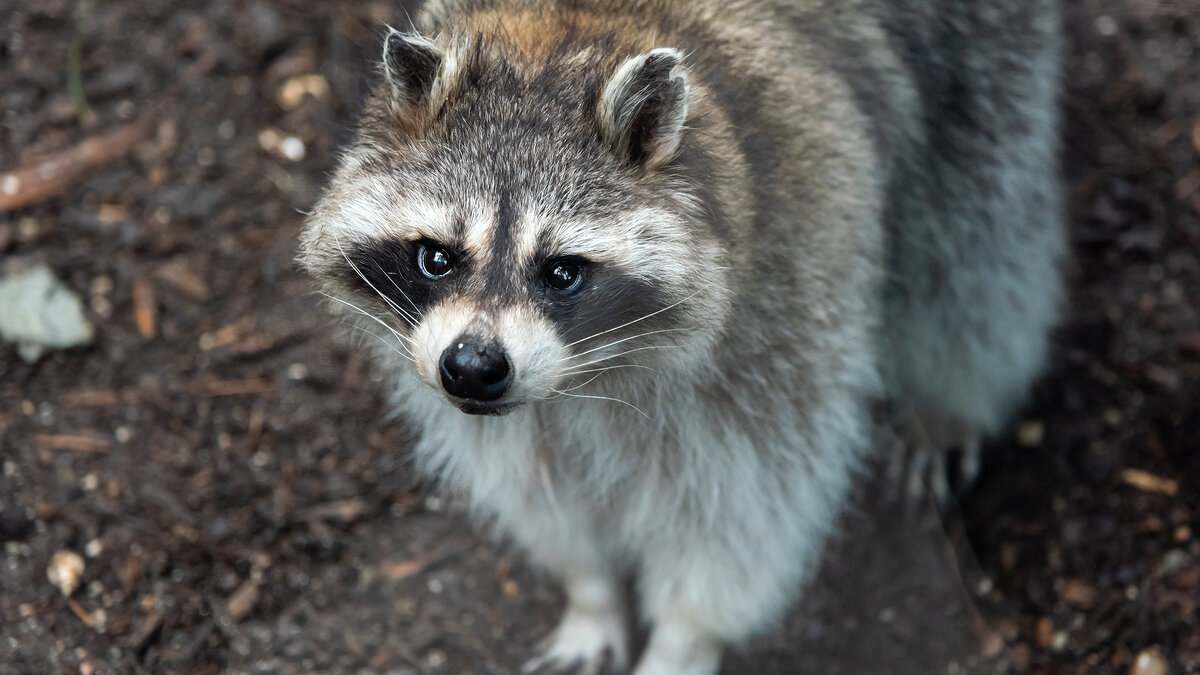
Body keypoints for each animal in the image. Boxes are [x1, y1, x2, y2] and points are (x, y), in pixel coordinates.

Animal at [297, 2, 1060, 667]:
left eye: (562, 272)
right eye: (436, 258)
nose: (475, 367)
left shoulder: (786, 304)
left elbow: (750, 508)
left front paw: (684, 640)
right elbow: (539, 484)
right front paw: (590, 592)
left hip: (982, 72)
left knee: (975, 252)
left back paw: (951, 402)